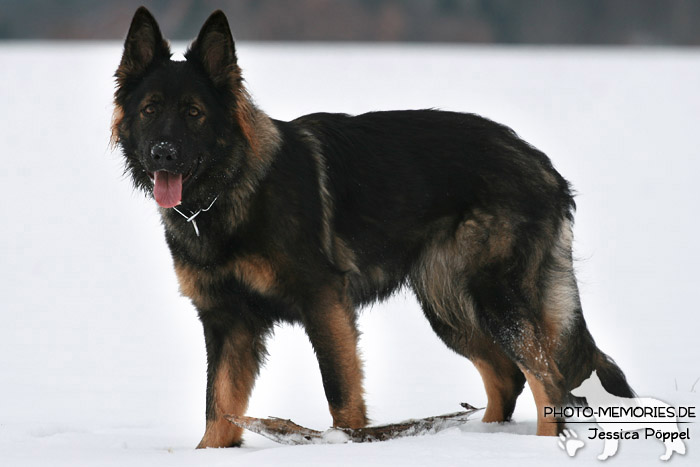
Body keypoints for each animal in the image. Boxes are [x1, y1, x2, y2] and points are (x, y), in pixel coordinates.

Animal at [113, 5, 636, 448]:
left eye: (194, 114)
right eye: (149, 110)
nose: (163, 154)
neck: (230, 190)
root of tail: (541, 163)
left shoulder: (324, 303)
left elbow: (339, 390)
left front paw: (349, 445)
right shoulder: (226, 321)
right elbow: (218, 405)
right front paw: (208, 453)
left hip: (492, 297)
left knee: (549, 381)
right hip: (448, 306)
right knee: (508, 377)